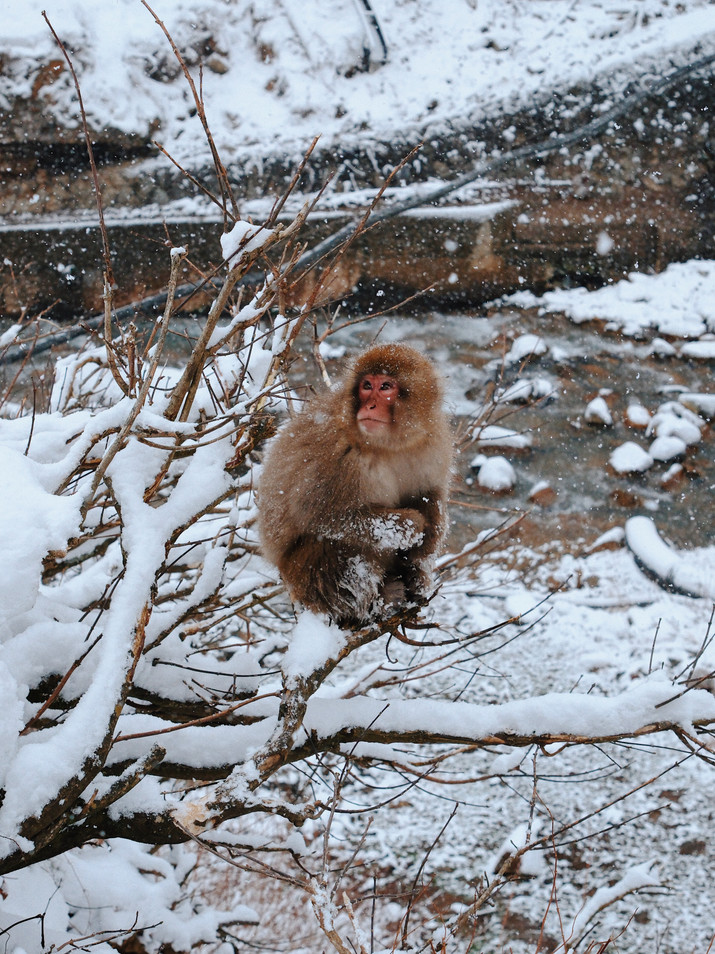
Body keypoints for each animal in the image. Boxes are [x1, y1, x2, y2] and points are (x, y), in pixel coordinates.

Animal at [256, 343, 453, 627]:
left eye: (385, 387)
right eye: (366, 385)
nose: (370, 405)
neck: (387, 445)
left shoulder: (432, 442)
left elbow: (429, 493)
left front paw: (428, 539)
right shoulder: (336, 452)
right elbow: (320, 516)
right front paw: (410, 526)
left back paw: (412, 581)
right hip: (302, 577)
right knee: (342, 545)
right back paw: (374, 604)